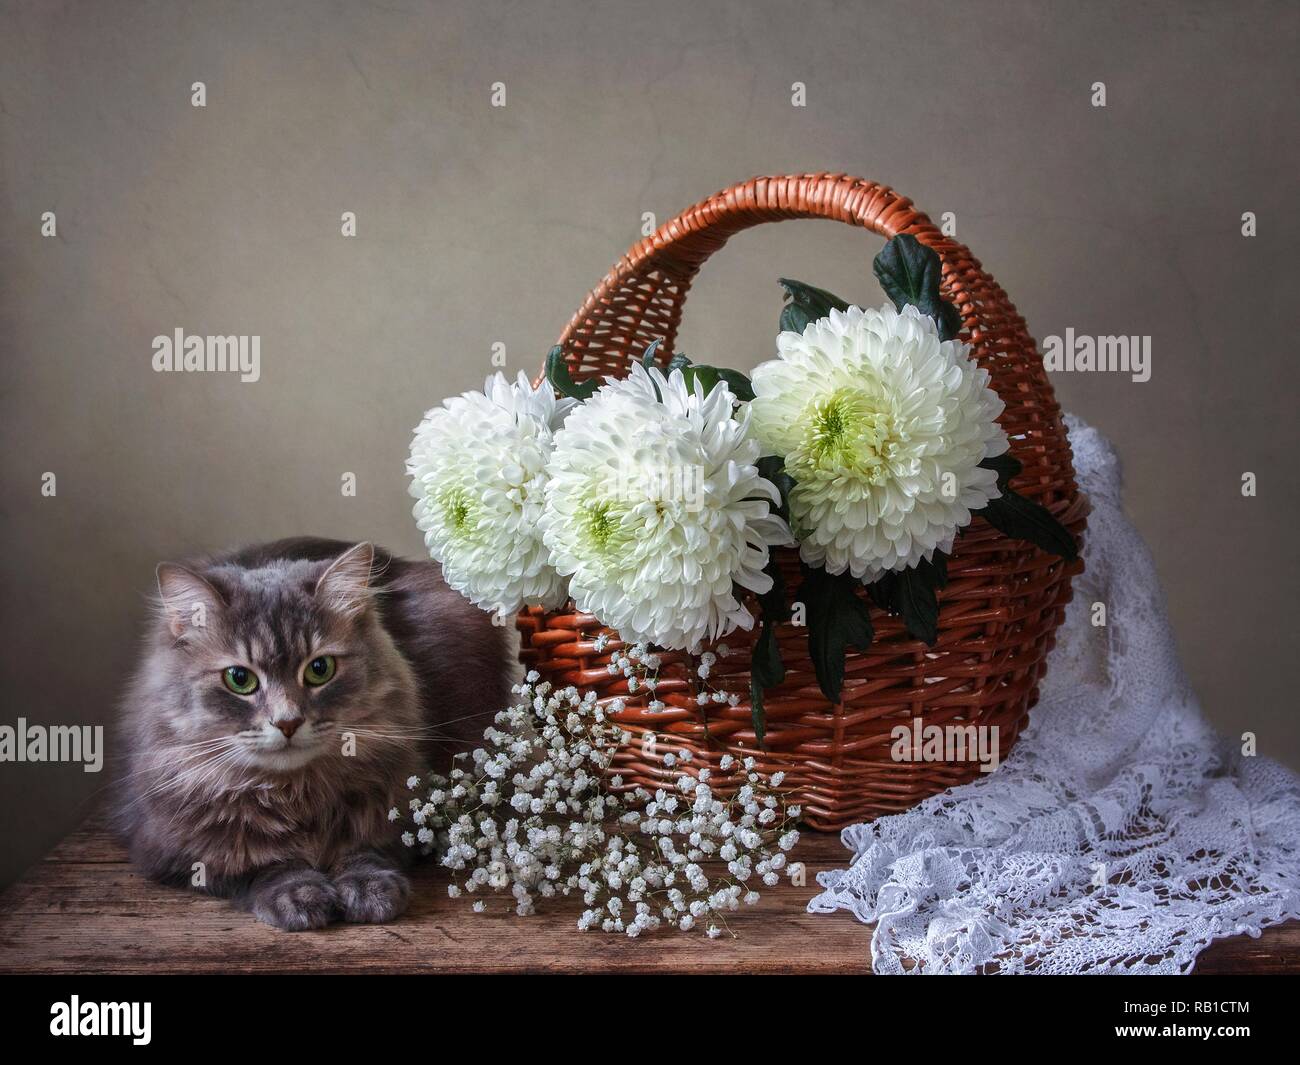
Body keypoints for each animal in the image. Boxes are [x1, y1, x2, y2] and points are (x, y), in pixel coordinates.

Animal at [111, 538, 509, 931]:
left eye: (320, 669)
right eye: (239, 679)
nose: (287, 722)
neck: (295, 793)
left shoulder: (396, 815)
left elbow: (364, 850)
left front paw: (367, 888)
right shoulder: (171, 851)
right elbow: (262, 866)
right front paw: (298, 893)